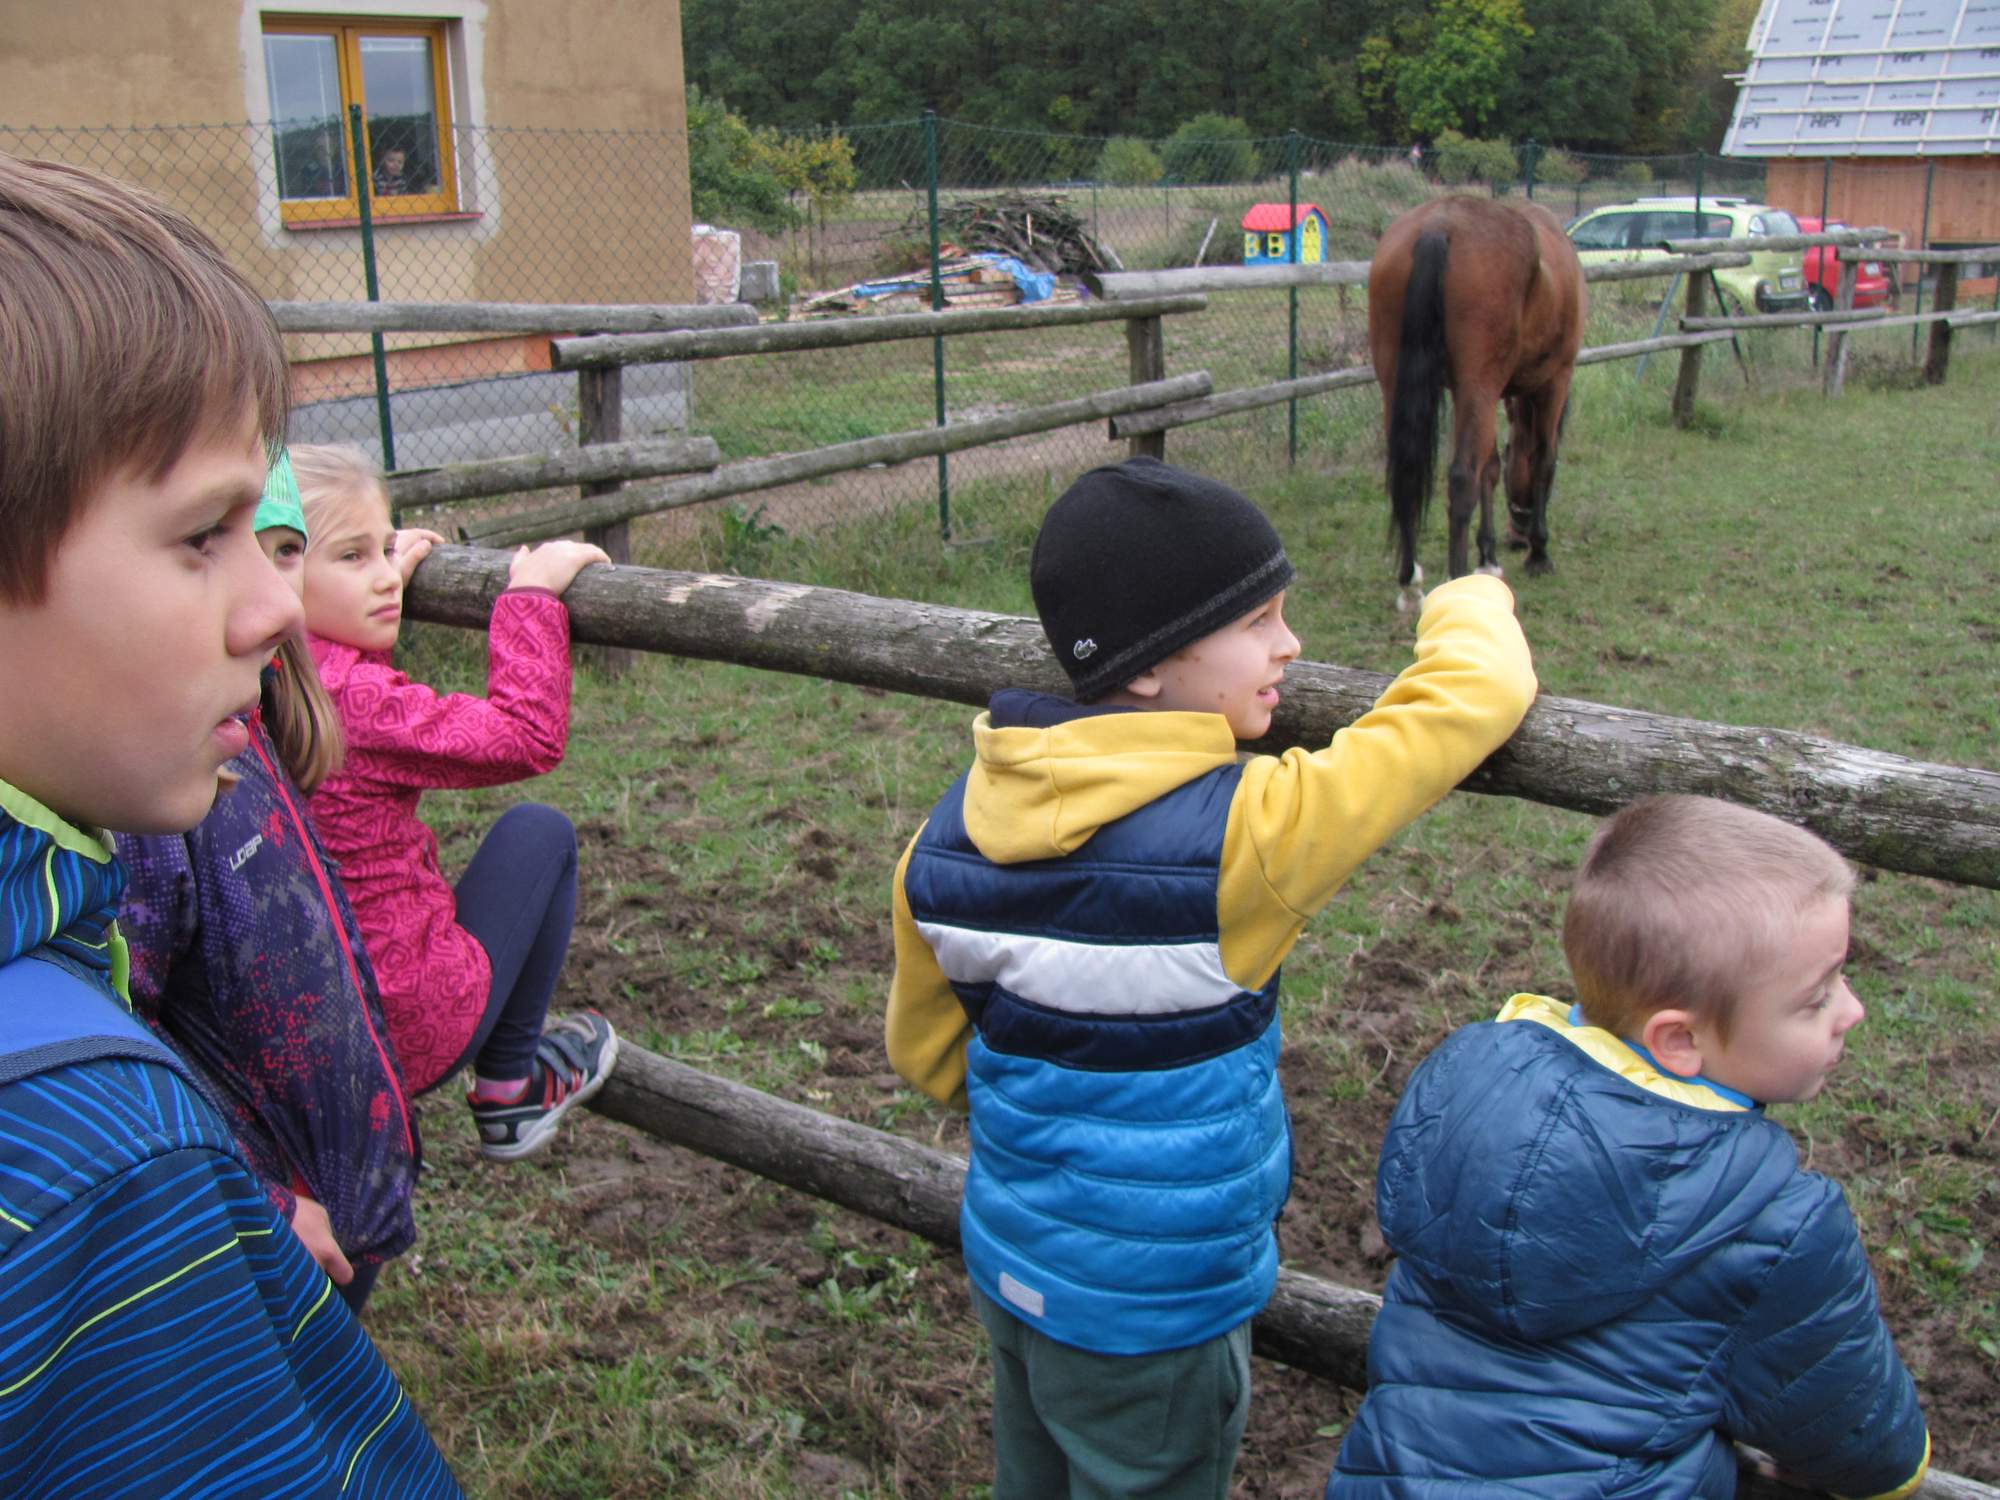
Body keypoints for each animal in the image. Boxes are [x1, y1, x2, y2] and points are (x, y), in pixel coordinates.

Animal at [1367, 195, 1587, 610]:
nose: (1517, 534)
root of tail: (1439, 224)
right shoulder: (1554, 381)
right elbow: (1543, 460)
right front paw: (1539, 552)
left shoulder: (1481, 394)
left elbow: (1492, 467)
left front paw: (1488, 556)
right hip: (1481, 386)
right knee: (1460, 480)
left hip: (1397, 383)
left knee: (1404, 477)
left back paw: (1410, 582)